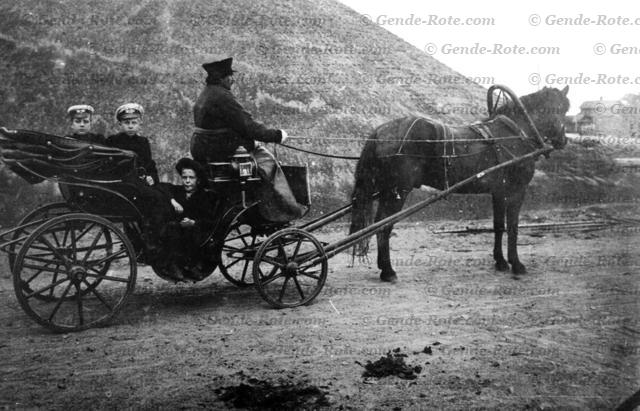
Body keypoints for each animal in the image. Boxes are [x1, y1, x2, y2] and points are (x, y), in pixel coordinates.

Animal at [350, 86, 568, 284]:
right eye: (562, 109)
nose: (563, 140)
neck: (515, 133)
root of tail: (380, 131)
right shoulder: (516, 191)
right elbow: (513, 227)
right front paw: (516, 264)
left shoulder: (498, 192)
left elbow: (499, 226)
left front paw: (500, 262)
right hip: (397, 192)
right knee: (383, 226)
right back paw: (388, 271)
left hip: (387, 191)